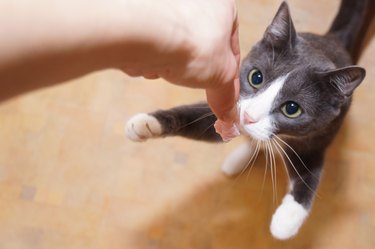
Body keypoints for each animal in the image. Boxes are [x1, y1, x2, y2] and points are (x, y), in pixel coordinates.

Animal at [125, 0, 374, 241]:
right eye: (256, 77)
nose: (248, 117)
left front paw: (286, 220)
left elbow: (309, 172)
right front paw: (145, 124)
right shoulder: (230, 108)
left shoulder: (319, 133)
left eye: (292, 109)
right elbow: (197, 121)